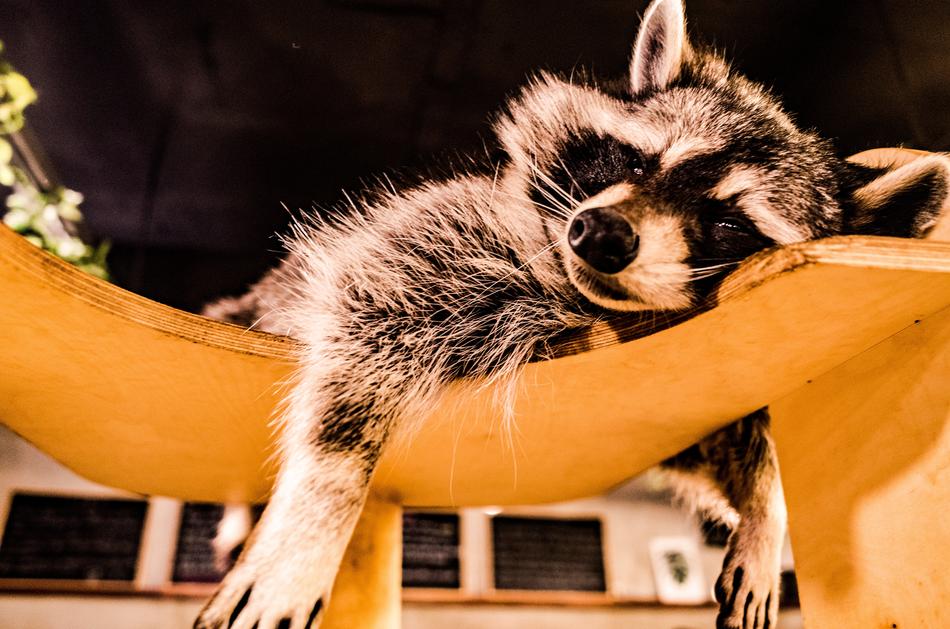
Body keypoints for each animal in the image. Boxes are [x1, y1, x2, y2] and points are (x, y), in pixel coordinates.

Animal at [195, 1, 950, 628]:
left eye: (730, 222)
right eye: (636, 160)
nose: (601, 234)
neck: (603, 303)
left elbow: (719, 438)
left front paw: (766, 505)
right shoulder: (448, 234)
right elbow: (370, 309)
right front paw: (321, 504)